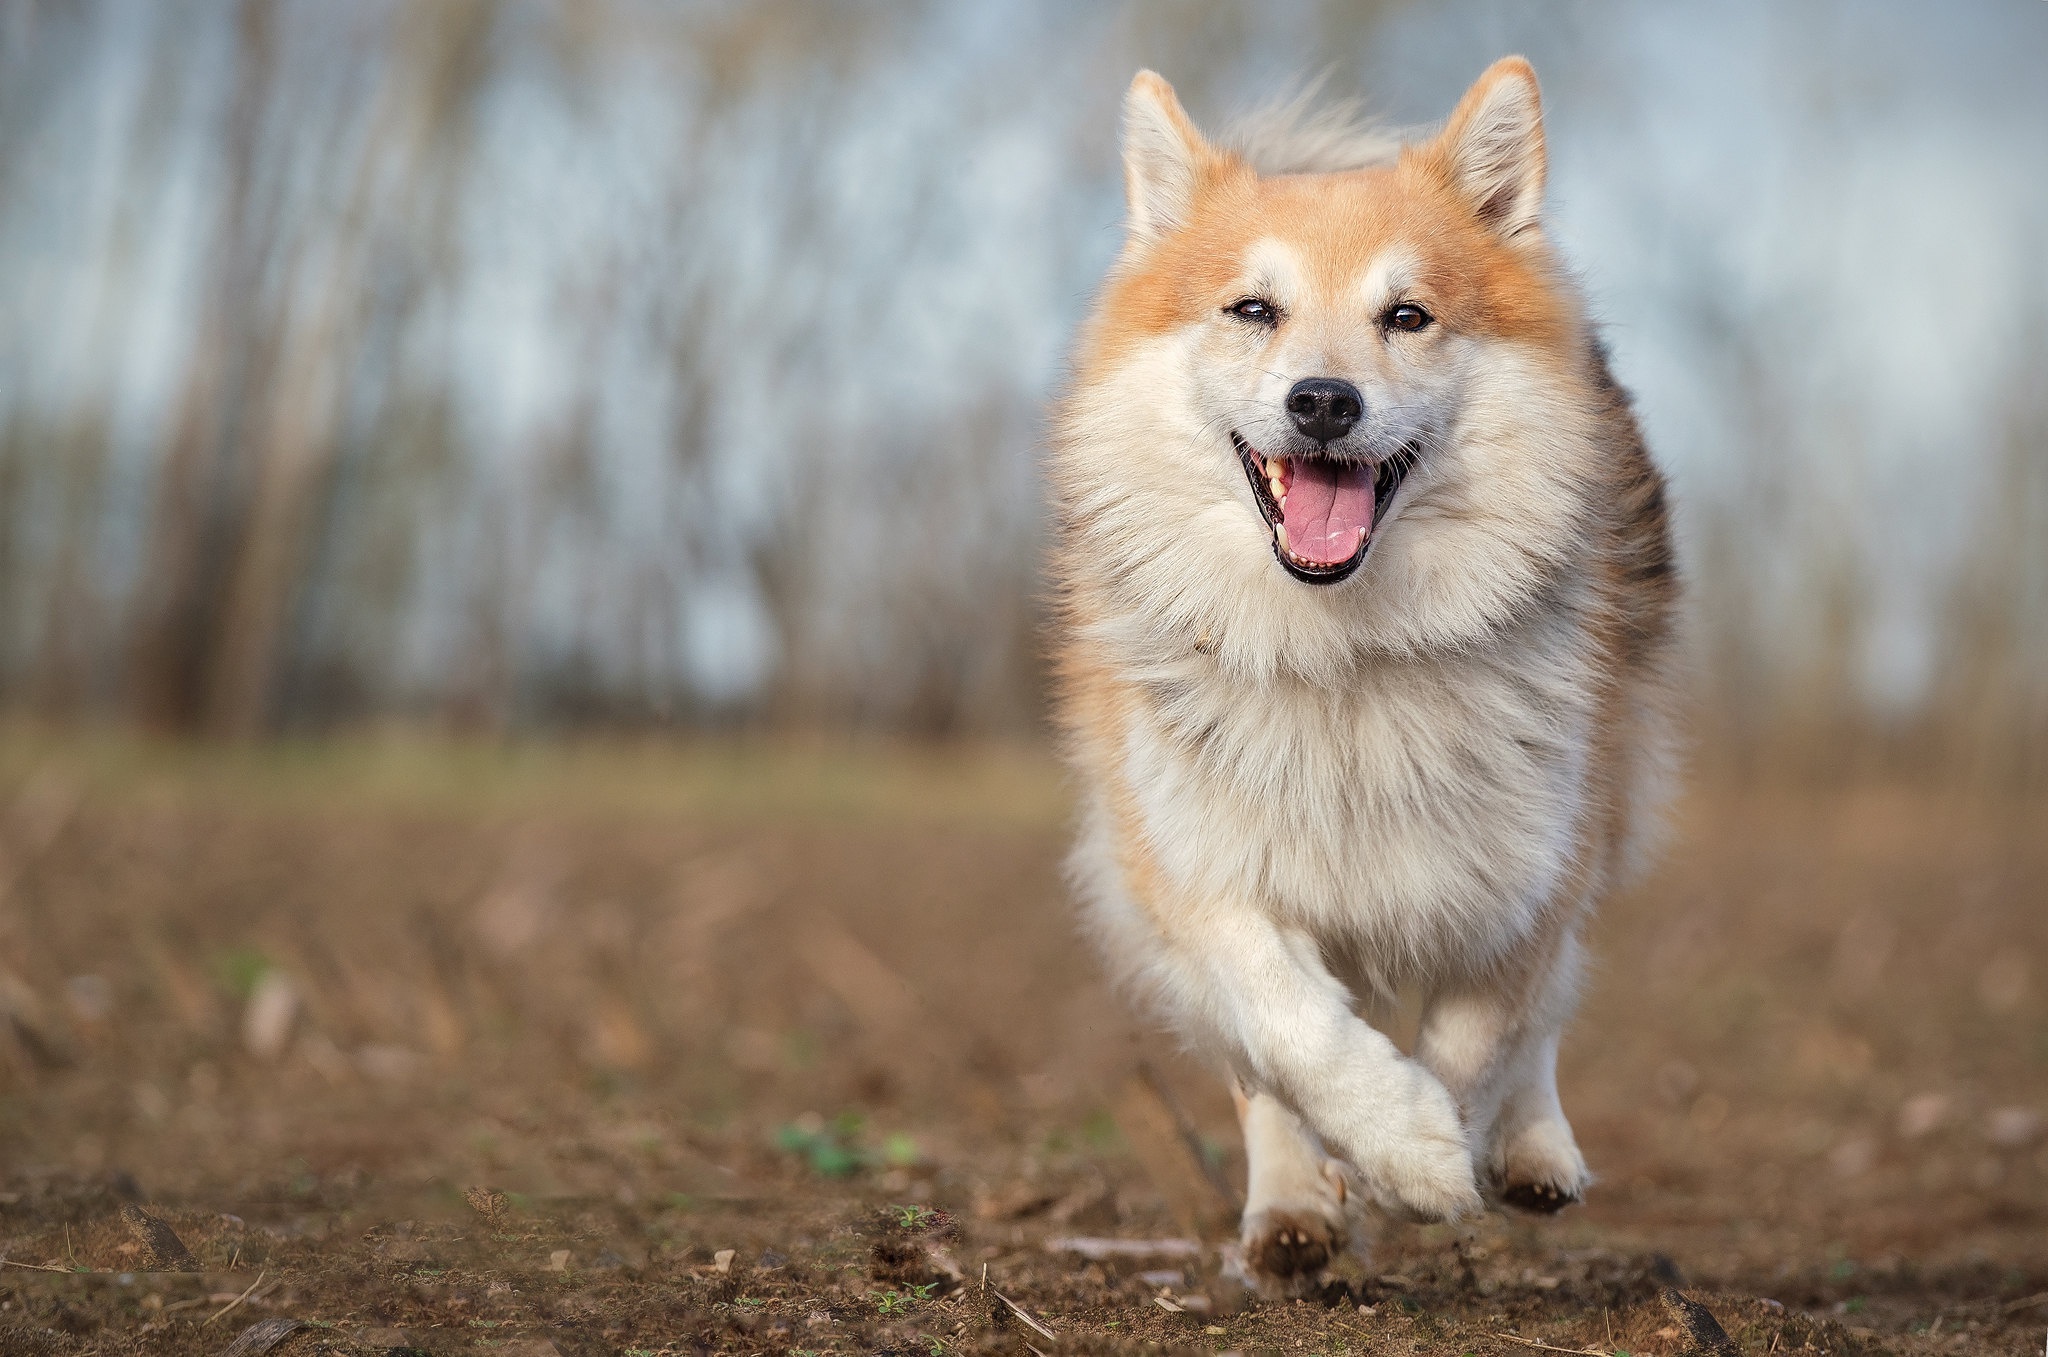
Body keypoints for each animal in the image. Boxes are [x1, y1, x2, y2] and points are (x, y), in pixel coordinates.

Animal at [1056, 58, 1679, 1293]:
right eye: (1254, 309)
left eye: (1407, 315)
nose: (1323, 400)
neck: (1340, 648)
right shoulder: (1188, 860)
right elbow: (1285, 1021)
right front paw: (1387, 1146)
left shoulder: (1532, 860)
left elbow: (1486, 1030)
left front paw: (1429, 1154)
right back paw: (1293, 1207)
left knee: (1551, 1006)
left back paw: (1530, 1151)